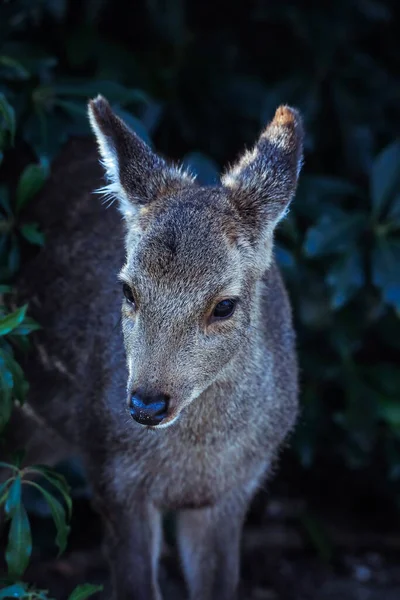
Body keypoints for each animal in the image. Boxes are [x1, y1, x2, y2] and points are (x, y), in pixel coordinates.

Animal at [15, 96, 304, 596]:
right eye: (128, 290)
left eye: (224, 305)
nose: (146, 404)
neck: (194, 459)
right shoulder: (113, 476)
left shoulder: (234, 491)